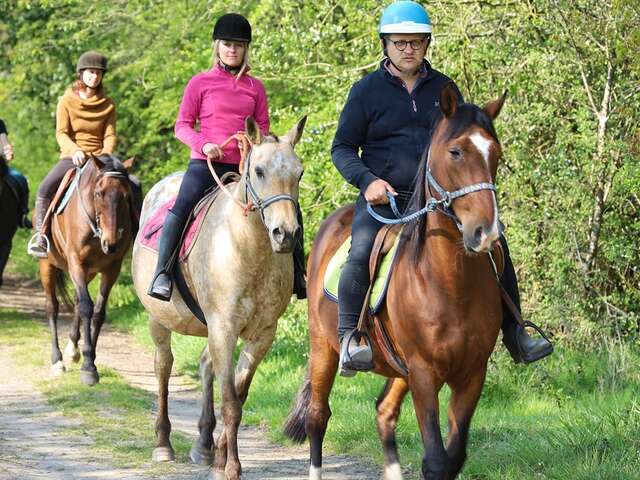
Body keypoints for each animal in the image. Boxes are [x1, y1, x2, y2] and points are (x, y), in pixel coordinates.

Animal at [40, 155, 136, 386]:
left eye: (126, 195)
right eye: (99, 193)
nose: (111, 243)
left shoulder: (111, 268)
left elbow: (98, 312)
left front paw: (89, 358)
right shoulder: (76, 262)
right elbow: (86, 307)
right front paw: (88, 368)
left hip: (90, 272)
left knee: (75, 301)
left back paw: (73, 350)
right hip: (47, 264)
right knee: (52, 306)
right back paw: (57, 360)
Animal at [131, 117, 306, 480]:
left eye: (299, 173)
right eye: (259, 171)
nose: (285, 234)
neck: (246, 250)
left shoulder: (262, 334)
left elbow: (239, 393)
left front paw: (221, 453)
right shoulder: (223, 328)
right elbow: (230, 402)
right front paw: (231, 467)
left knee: (205, 365)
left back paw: (204, 444)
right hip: (159, 319)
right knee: (163, 367)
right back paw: (163, 444)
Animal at [282, 86, 508, 480]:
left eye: (495, 153)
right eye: (456, 152)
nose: (486, 233)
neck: (449, 283)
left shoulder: (471, 374)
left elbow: (453, 457)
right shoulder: (423, 373)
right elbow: (436, 460)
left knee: (384, 410)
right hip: (323, 347)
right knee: (317, 416)